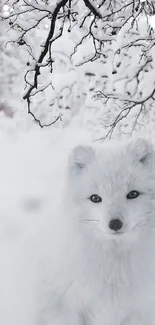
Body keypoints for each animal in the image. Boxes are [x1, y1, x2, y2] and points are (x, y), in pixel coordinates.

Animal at [38, 137, 155, 324]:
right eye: (95, 198)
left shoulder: (138, 310)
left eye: (133, 194)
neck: (114, 267)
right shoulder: (66, 307)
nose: (115, 224)